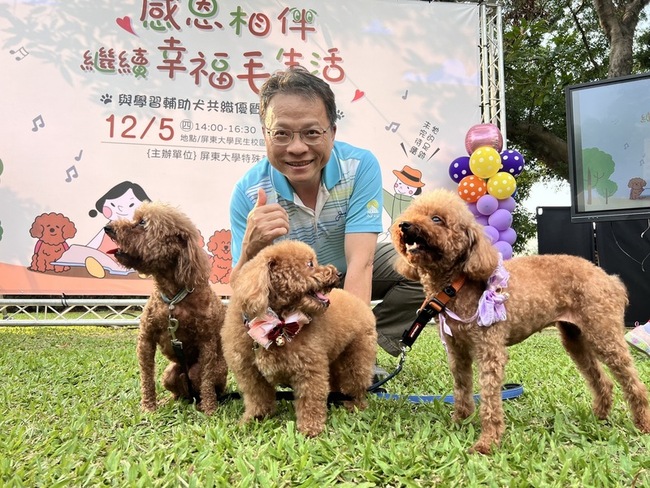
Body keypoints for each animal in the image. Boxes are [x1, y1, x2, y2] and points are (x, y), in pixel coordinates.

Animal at [104, 200, 228, 414]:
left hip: (203, 371)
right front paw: (148, 407)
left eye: (142, 223)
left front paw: (210, 410)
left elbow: (207, 380)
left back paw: (202, 402)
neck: (172, 299)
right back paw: (170, 400)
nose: (108, 227)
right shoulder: (146, 338)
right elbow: (146, 376)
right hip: (169, 374)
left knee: (204, 384)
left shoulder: (207, 341)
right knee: (178, 393)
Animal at [221, 239, 378, 434]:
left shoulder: (309, 369)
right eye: (310, 264)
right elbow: (258, 397)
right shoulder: (250, 372)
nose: (339, 274)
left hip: (357, 356)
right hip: (335, 359)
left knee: (356, 383)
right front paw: (255, 418)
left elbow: (310, 399)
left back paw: (355, 405)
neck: (278, 324)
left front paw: (310, 429)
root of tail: (361, 304)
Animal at [390, 190, 648, 454]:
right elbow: (462, 388)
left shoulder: (490, 350)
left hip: (603, 332)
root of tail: (609, 279)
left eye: (437, 219)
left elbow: (489, 397)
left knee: (633, 382)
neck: (456, 285)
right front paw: (459, 422)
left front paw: (487, 442)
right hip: (575, 337)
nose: (404, 225)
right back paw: (599, 416)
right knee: (602, 380)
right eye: (413, 212)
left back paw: (643, 424)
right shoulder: (457, 351)